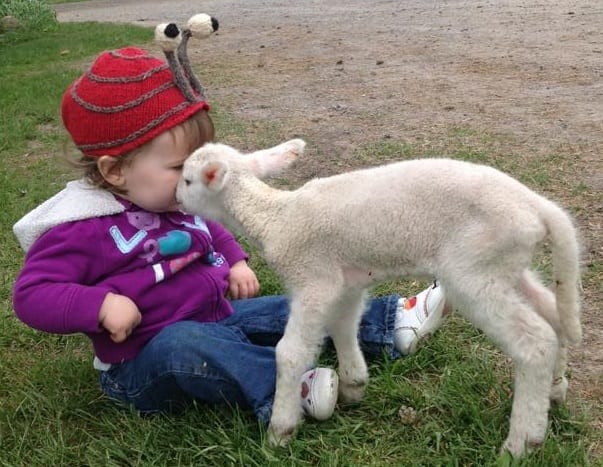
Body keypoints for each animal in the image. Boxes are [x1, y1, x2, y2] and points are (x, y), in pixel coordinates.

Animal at [177, 138, 584, 458]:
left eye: (187, 179)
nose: (177, 198)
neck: (276, 218)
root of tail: (539, 209)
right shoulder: (346, 282)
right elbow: (343, 326)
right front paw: (353, 385)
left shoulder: (314, 279)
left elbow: (290, 353)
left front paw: (280, 432)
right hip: (503, 265)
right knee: (553, 314)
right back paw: (555, 390)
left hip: (474, 270)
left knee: (535, 341)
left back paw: (521, 443)